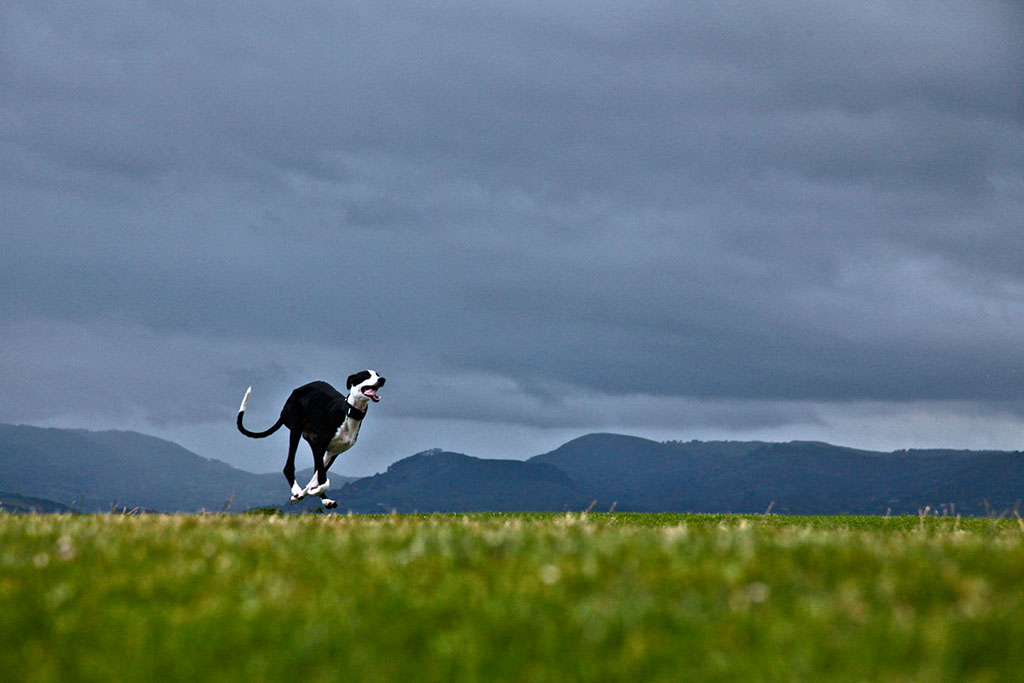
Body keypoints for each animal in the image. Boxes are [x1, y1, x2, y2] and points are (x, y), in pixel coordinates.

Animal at [235, 368, 387, 507]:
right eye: (365, 375)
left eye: (377, 375)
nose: (382, 380)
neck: (348, 412)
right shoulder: (321, 446)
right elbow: (323, 480)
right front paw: (303, 493)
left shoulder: (332, 453)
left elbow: (318, 478)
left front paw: (307, 493)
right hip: (296, 430)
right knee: (289, 466)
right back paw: (297, 490)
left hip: (313, 442)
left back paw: (317, 497)